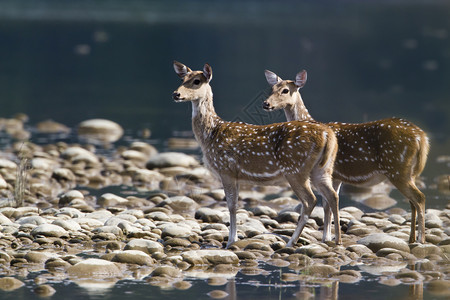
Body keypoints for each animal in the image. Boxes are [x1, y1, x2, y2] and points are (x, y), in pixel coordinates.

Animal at [173, 61, 342, 248]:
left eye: (196, 81)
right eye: (182, 79)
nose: (176, 94)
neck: (211, 134)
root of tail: (328, 135)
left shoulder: (226, 169)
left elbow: (231, 205)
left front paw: (231, 241)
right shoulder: (235, 175)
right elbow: (235, 204)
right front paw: (233, 238)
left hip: (295, 169)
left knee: (310, 200)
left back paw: (291, 242)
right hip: (322, 169)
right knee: (332, 196)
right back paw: (337, 240)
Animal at [264, 68, 428, 244]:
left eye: (285, 90)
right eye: (271, 88)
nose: (266, 103)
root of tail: (422, 137)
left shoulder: (331, 174)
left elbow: (328, 203)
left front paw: (328, 237)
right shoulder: (336, 176)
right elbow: (328, 204)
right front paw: (327, 237)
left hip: (397, 168)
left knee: (419, 198)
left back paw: (421, 239)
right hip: (408, 172)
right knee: (412, 201)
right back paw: (411, 238)